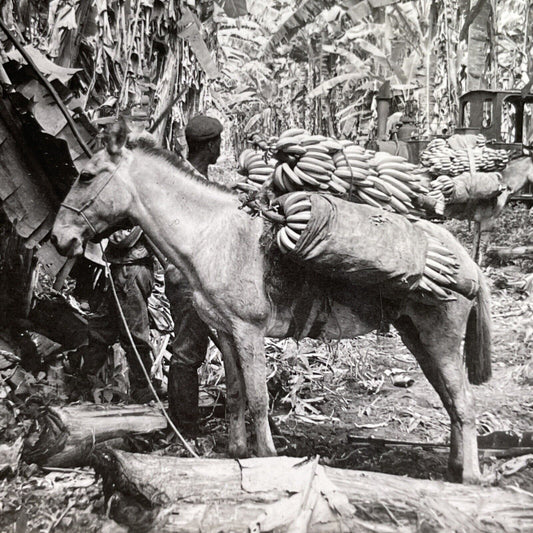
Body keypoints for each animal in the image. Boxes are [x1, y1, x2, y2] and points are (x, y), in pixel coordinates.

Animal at [50, 121, 490, 482]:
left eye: (86, 176)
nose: (58, 238)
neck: (212, 235)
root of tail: (467, 261)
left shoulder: (250, 332)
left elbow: (259, 399)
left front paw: (267, 456)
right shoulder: (224, 333)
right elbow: (234, 395)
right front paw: (236, 452)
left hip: (440, 337)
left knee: (465, 403)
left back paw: (470, 478)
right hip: (417, 336)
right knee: (450, 399)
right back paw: (454, 466)